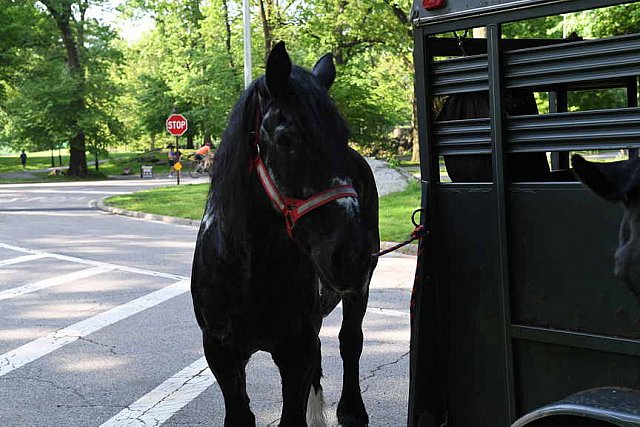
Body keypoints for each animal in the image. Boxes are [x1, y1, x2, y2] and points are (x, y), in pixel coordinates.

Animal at [190, 41, 380, 427]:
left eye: (343, 135)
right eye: (286, 138)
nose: (352, 255)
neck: (249, 271)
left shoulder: (294, 351)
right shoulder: (221, 353)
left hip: (360, 291)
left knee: (350, 340)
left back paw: (351, 411)